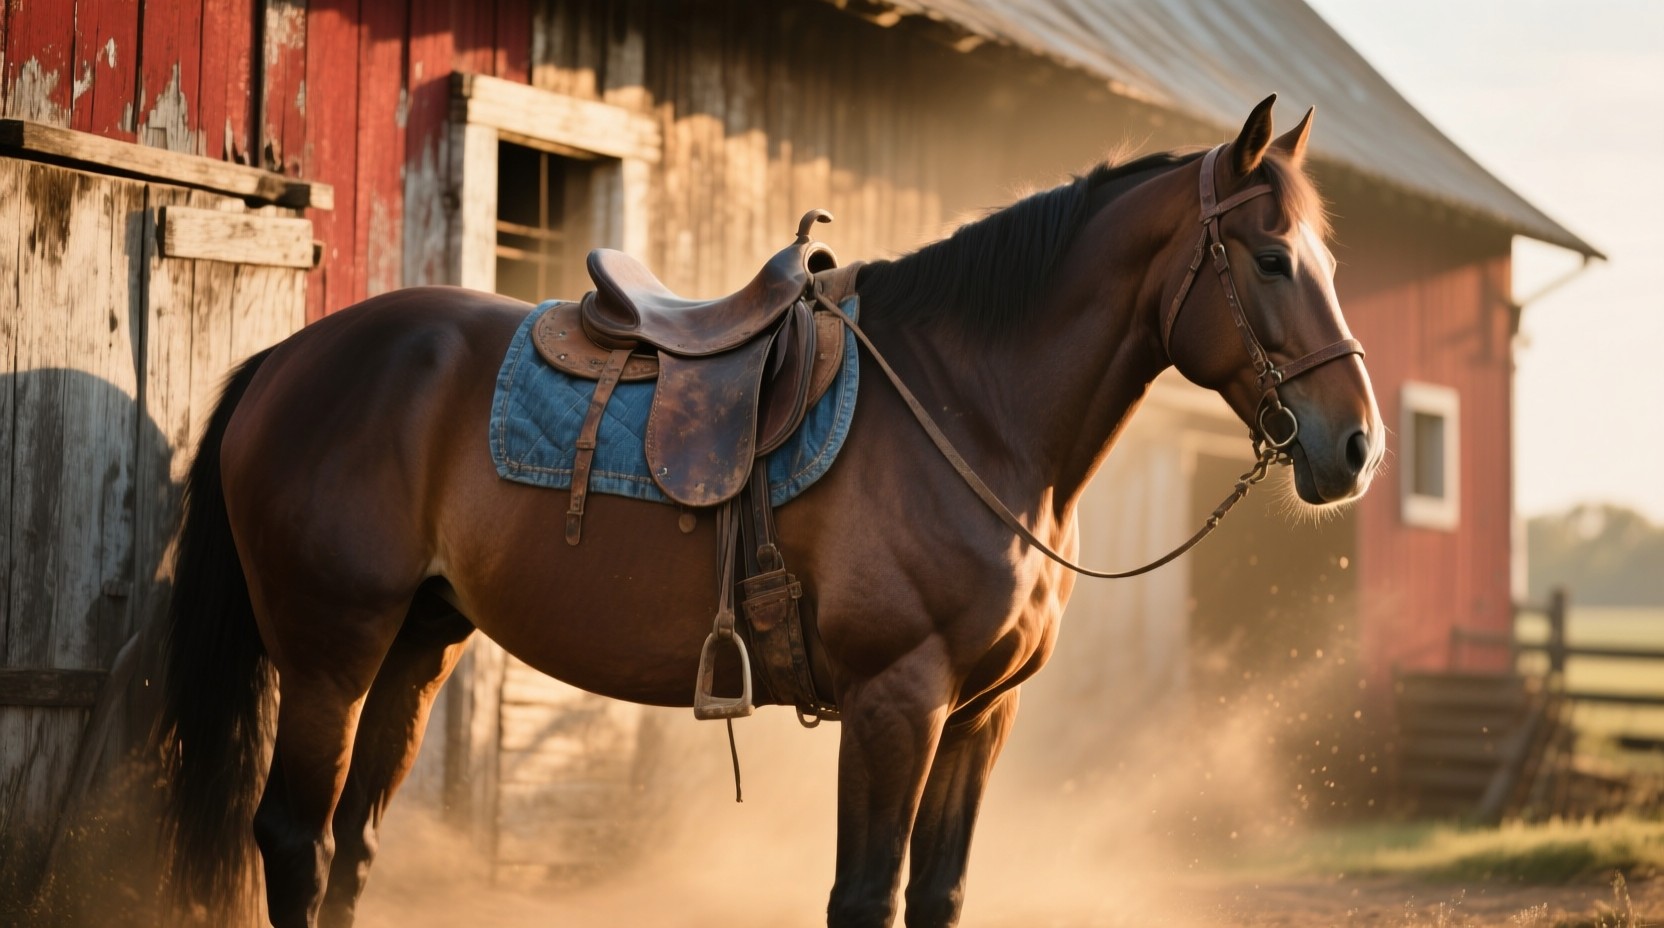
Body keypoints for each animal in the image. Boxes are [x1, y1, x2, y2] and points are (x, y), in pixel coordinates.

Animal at [154, 95, 1383, 928]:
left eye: (1328, 256)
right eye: (1270, 258)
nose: (1357, 446)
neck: (967, 408)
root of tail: (290, 359)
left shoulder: (980, 717)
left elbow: (935, 897)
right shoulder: (897, 705)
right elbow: (862, 897)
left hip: (417, 646)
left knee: (352, 844)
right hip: (332, 651)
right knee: (294, 838)